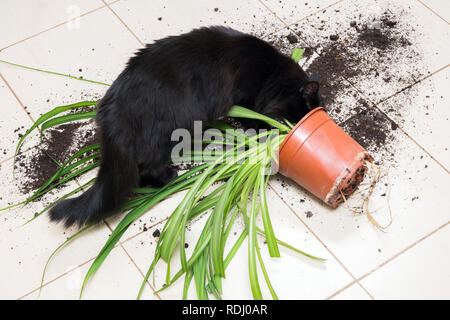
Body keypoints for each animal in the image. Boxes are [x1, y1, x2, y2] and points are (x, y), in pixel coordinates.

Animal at [49, 26, 322, 228]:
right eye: (298, 117)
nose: (296, 128)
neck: (272, 74)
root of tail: (115, 113)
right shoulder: (244, 99)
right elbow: (253, 120)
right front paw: (263, 134)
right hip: (175, 125)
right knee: (147, 166)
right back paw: (171, 177)